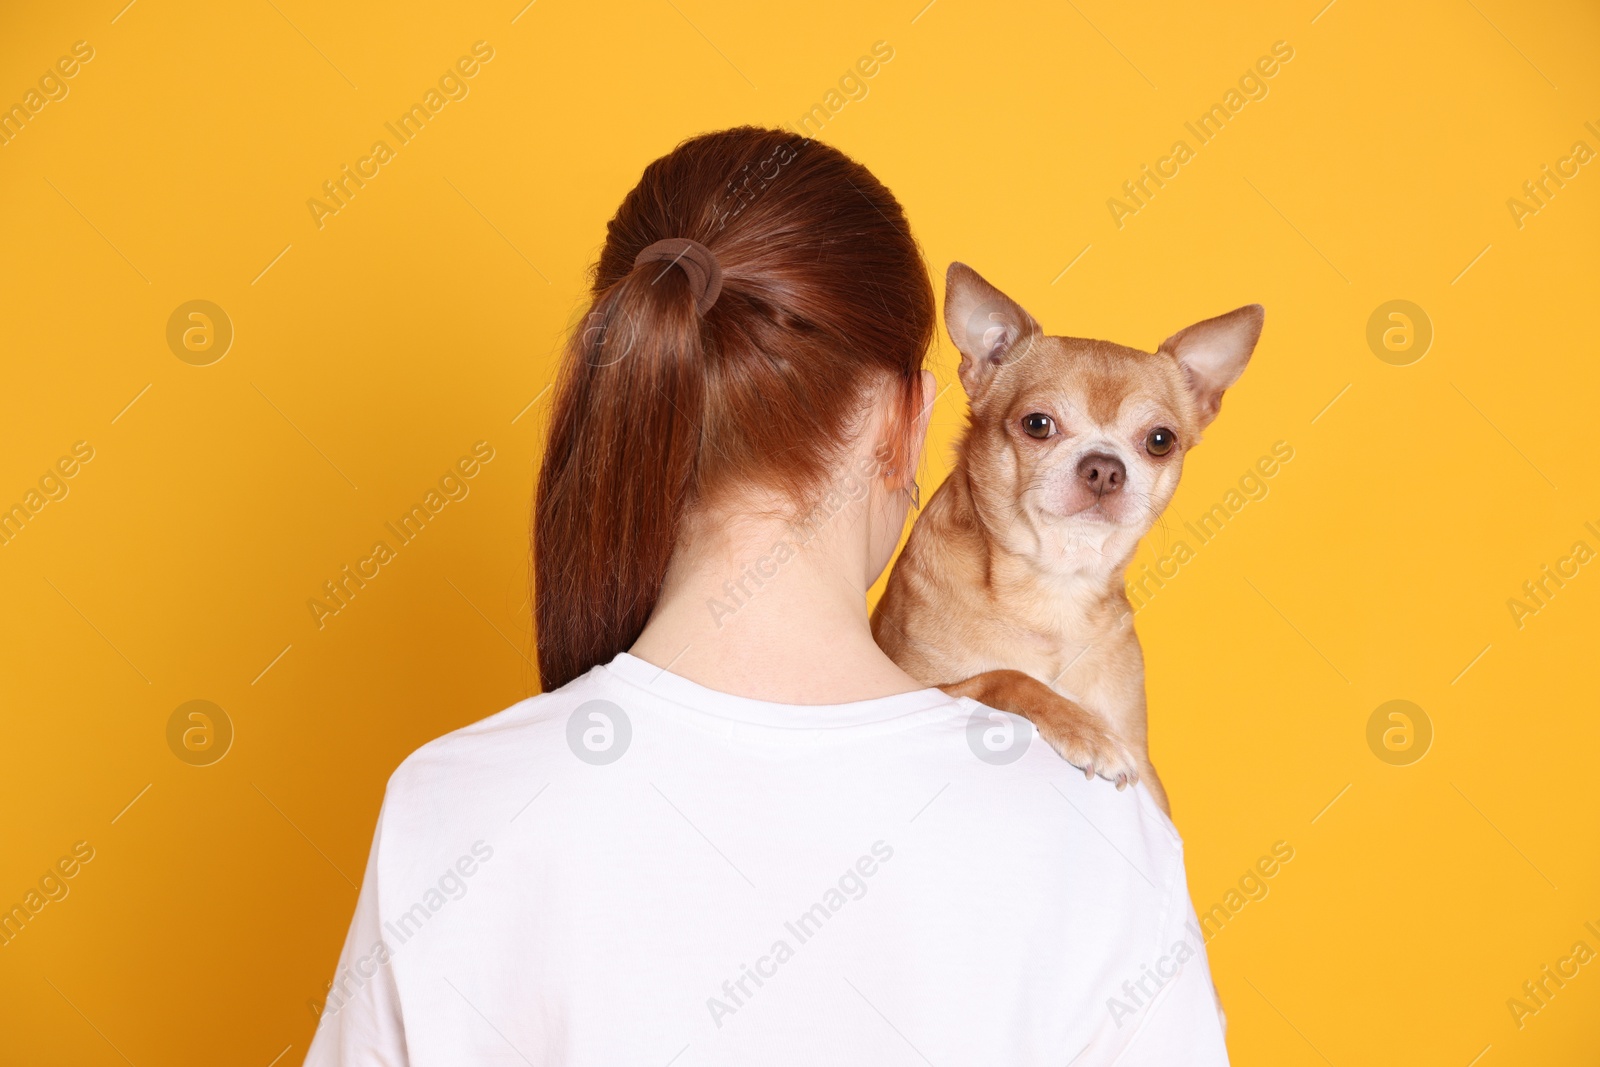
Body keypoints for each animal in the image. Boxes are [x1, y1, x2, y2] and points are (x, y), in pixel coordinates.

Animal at [876, 262, 1260, 812]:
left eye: (1160, 441)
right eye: (1038, 424)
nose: (1105, 467)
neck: (1055, 579)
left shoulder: (1146, 765)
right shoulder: (927, 689)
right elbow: (1006, 676)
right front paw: (1085, 730)